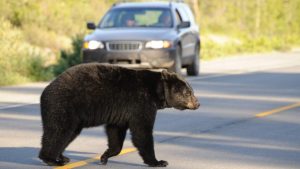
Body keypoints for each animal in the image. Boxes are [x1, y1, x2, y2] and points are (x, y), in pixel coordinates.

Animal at [38, 63, 200, 166]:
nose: (198, 103)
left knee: (68, 133)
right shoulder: (140, 103)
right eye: (188, 93)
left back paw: (62, 157)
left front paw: (105, 156)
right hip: (63, 105)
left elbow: (115, 132)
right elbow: (142, 131)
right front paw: (158, 161)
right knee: (59, 131)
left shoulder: (121, 111)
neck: (156, 91)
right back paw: (50, 159)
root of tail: (44, 92)